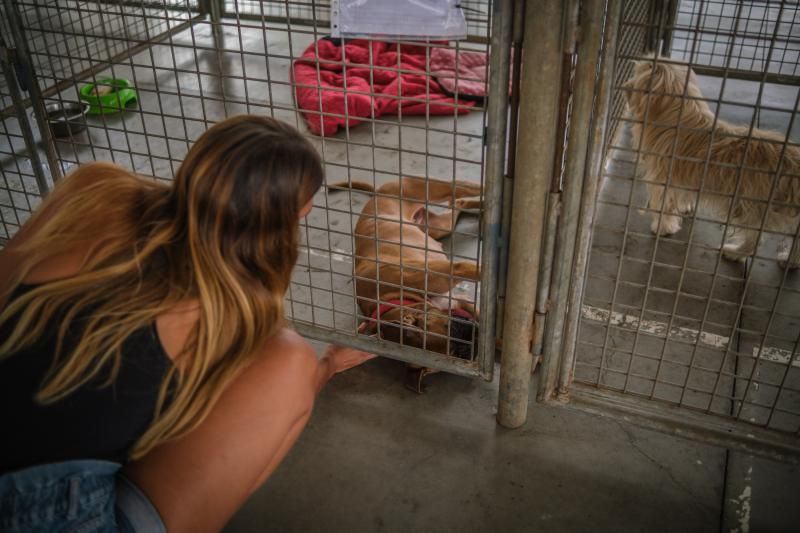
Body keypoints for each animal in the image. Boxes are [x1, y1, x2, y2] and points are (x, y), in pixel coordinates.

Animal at [326, 177, 482, 388]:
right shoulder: (460, 301)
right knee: (458, 202)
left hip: (425, 188)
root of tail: (376, 195)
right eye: (454, 353)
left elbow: (471, 268)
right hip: (440, 226)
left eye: (449, 328)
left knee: (460, 186)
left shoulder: (447, 272)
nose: (472, 344)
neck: (392, 299)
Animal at [624, 56, 800, 268]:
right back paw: (790, 260)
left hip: (752, 210)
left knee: (755, 240)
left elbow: (665, 206)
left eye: (637, 73)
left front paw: (663, 227)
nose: (625, 86)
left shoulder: (662, 179)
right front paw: (685, 209)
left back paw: (735, 252)